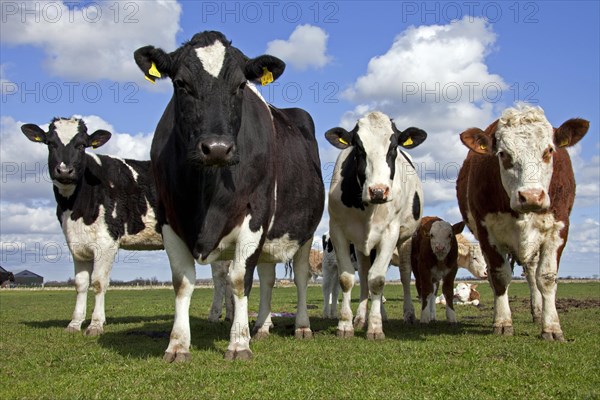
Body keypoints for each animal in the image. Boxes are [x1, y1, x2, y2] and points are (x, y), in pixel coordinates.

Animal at [134, 31, 326, 360]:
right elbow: (182, 282)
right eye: (180, 83)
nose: (217, 148)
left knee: (299, 276)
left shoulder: (256, 214)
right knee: (268, 278)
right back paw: (261, 326)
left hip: (304, 233)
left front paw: (238, 344)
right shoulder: (169, 218)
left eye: (240, 85)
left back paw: (301, 326)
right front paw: (177, 345)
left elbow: (239, 279)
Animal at [324, 111, 426, 340]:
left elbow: (378, 280)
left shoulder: (390, 233)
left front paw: (376, 327)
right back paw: (363, 317)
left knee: (404, 274)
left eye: (394, 146)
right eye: (358, 147)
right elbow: (348, 278)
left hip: (405, 239)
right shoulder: (337, 230)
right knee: (364, 274)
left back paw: (407, 313)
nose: (378, 191)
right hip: (362, 245)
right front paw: (346, 324)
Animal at [458, 104, 588, 340]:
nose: (531, 196)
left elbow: (546, 277)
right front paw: (502, 322)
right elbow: (499, 277)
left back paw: (537, 312)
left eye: (549, 151)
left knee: (532, 274)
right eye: (503, 154)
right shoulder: (487, 233)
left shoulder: (558, 229)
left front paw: (551, 327)